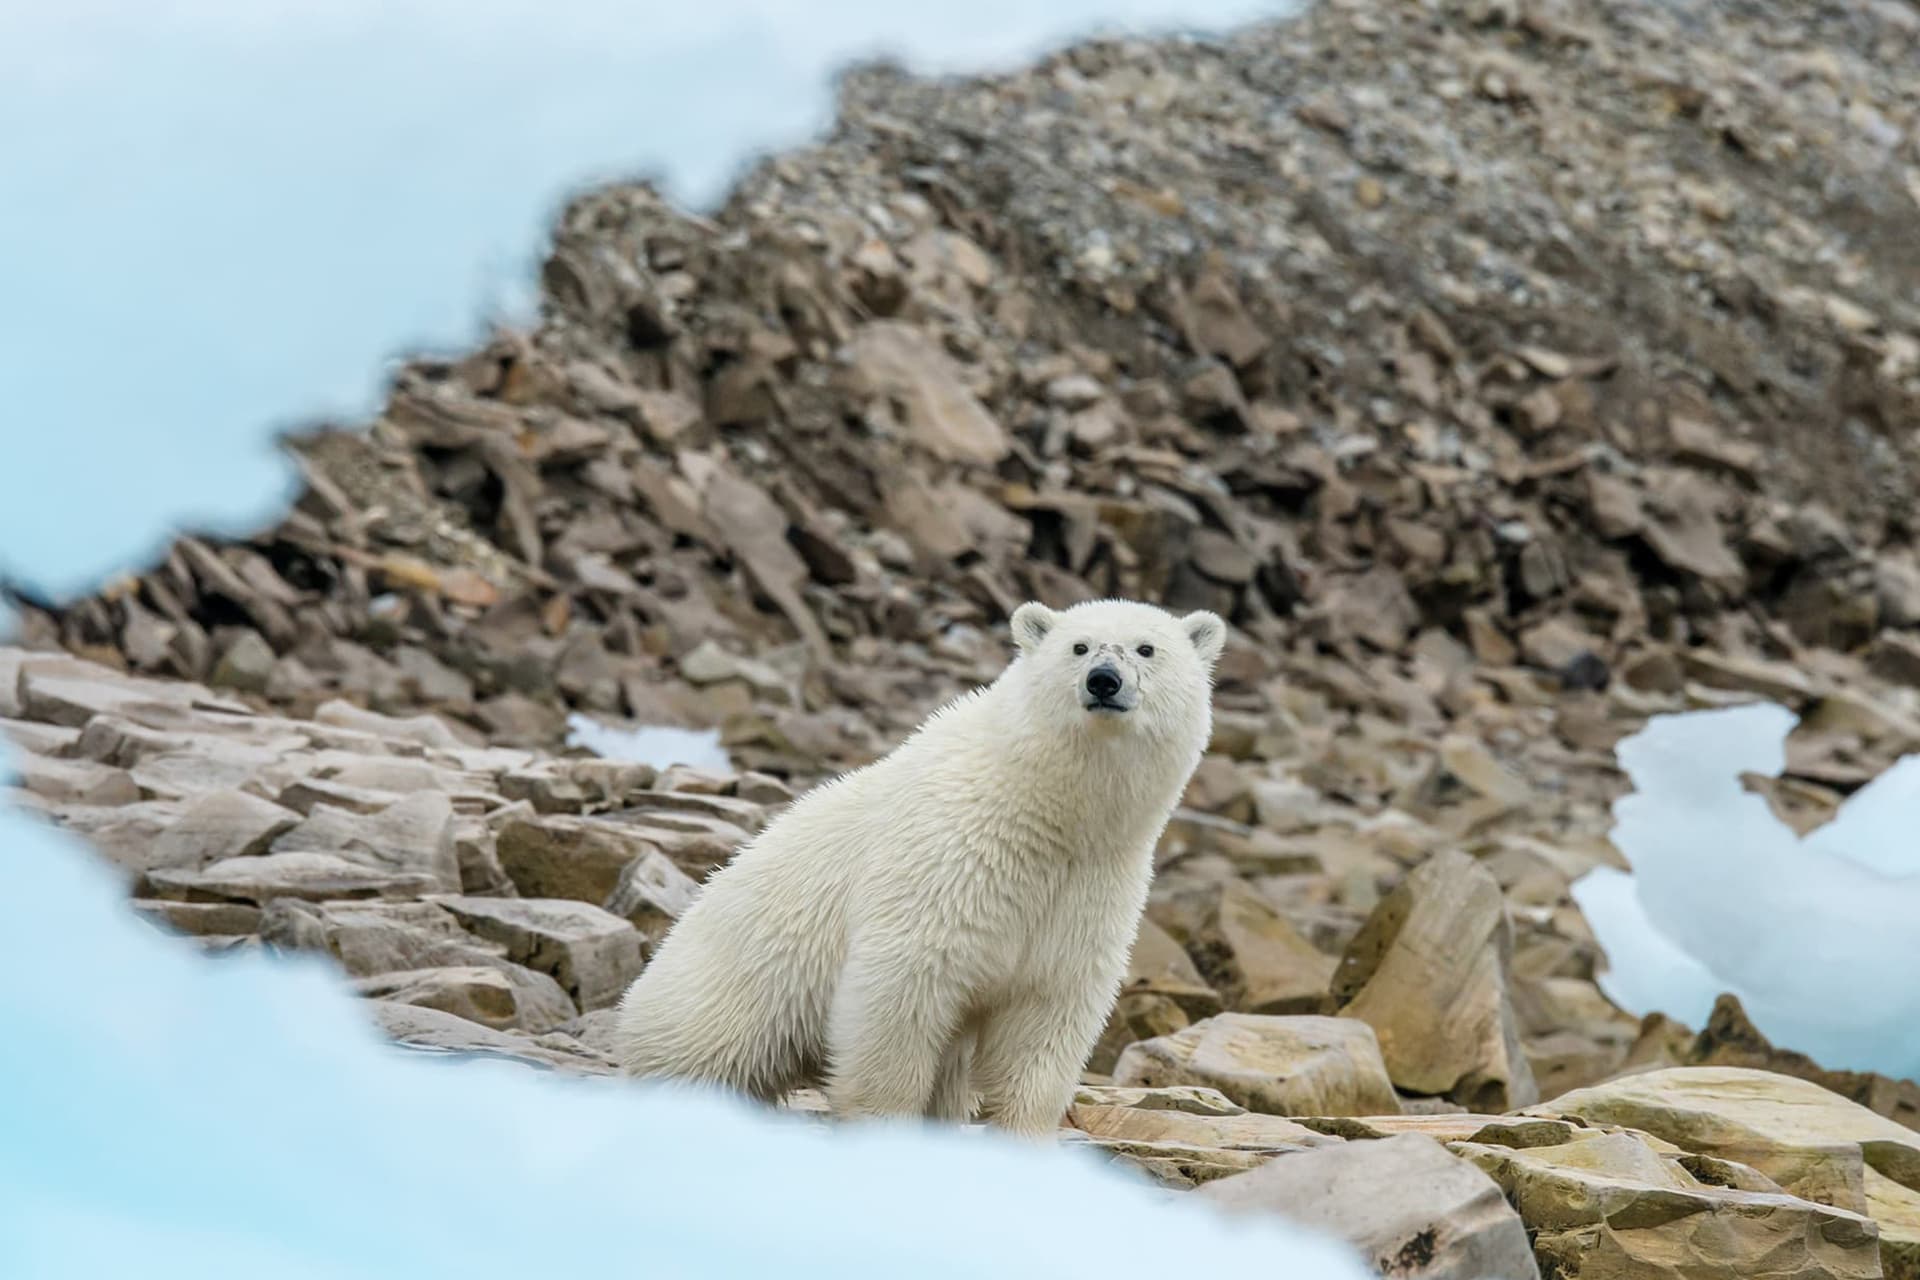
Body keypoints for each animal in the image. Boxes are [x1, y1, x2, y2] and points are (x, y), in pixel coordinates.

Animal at [606, 602, 1221, 1143]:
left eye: (1146, 648)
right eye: (1080, 646)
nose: (1103, 681)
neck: (1046, 812)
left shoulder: (1089, 890)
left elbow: (1045, 1012)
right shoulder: (947, 861)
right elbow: (904, 989)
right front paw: (887, 1131)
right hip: (726, 992)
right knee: (700, 1056)